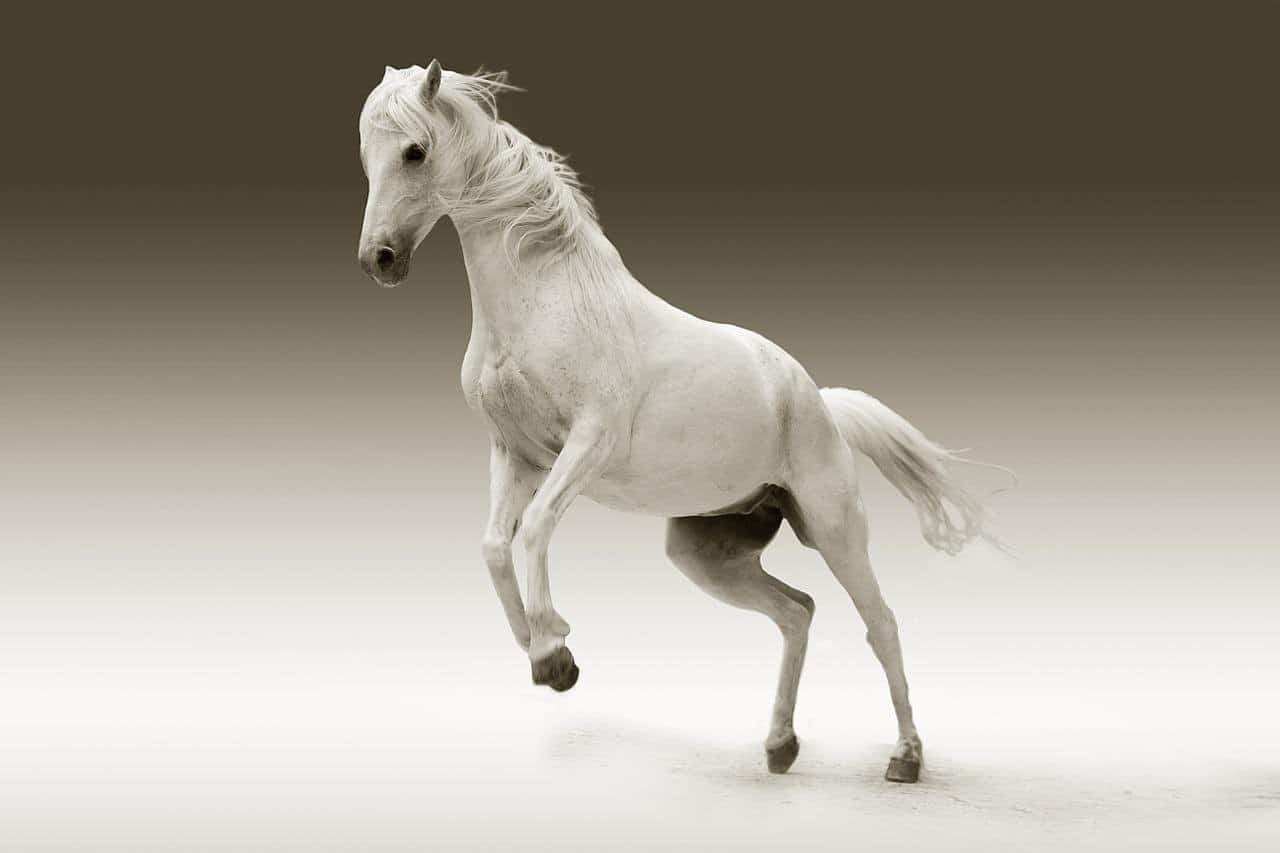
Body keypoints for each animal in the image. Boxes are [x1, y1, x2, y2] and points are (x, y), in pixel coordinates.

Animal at [357, 60, 999, 783]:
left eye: (414, 151)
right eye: (367, 155)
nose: (379, 259)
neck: (547, 301)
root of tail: (818, 401)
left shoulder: (587, 444)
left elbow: (536, 529)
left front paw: (554, 652)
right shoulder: (514, 453)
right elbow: (495, 545)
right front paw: (546, 654)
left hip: (834, 527)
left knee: (881, 622)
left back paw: (905, 757)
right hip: (707, 551)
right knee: (796, 612)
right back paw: (780, 746)